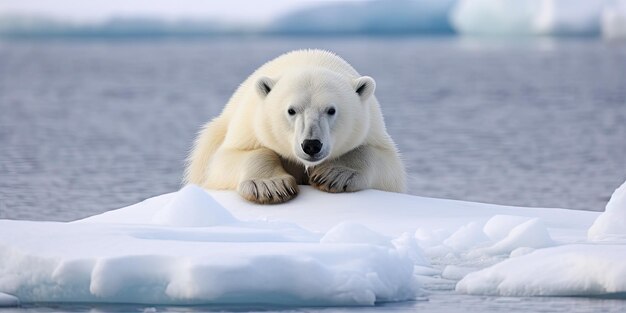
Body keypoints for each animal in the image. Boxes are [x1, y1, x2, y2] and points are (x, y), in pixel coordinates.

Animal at [184, 49, 404, 202]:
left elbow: (388, 164)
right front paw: (269, 186)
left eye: (331, 110)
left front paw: (334, 175)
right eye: (291, 110)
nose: (311, 145)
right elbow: (224, 161)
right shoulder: (249, 126)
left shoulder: (372, 128)